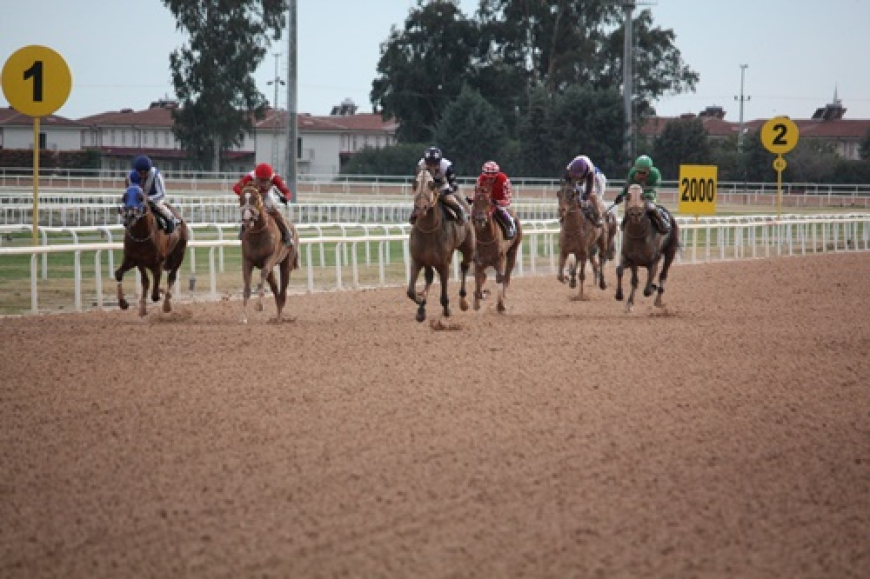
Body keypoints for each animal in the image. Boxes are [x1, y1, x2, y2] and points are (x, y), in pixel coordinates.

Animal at [115, 185, 188, 317]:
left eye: (141, 198)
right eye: (124, 197)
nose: (129, 217)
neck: (141, 237)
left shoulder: (157, 264)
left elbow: (155, 295)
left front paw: (162, 295)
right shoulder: (134, 260)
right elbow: (121, 274)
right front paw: (124, 303)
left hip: (179, 254)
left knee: (171, 276)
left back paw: (167, 305)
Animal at [239, 184, 299, 323]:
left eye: (255, 199)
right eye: (241, 199)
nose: (246, 219)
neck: (257, 234)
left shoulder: (270, 258)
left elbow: (262, 276)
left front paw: (259, 306)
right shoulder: (247, 260)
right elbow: (247, 287)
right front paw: (243, 317)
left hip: (286, 264)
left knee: (283, 291)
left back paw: (279, 316)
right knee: (276, 289)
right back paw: (278, 315)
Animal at [406, 166, 476, 322]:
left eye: (431, 184)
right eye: (414, 183)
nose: (420, 208)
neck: (429, 231)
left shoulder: (444, 262)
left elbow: (444, 292)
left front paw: (447, 310)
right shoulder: (418, 260)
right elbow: (411, 292)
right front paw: (421, 301)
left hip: (469, 247)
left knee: (464, 266)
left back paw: (463, 301)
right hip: (428, 261)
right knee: (429, 277)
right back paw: (422, 306)